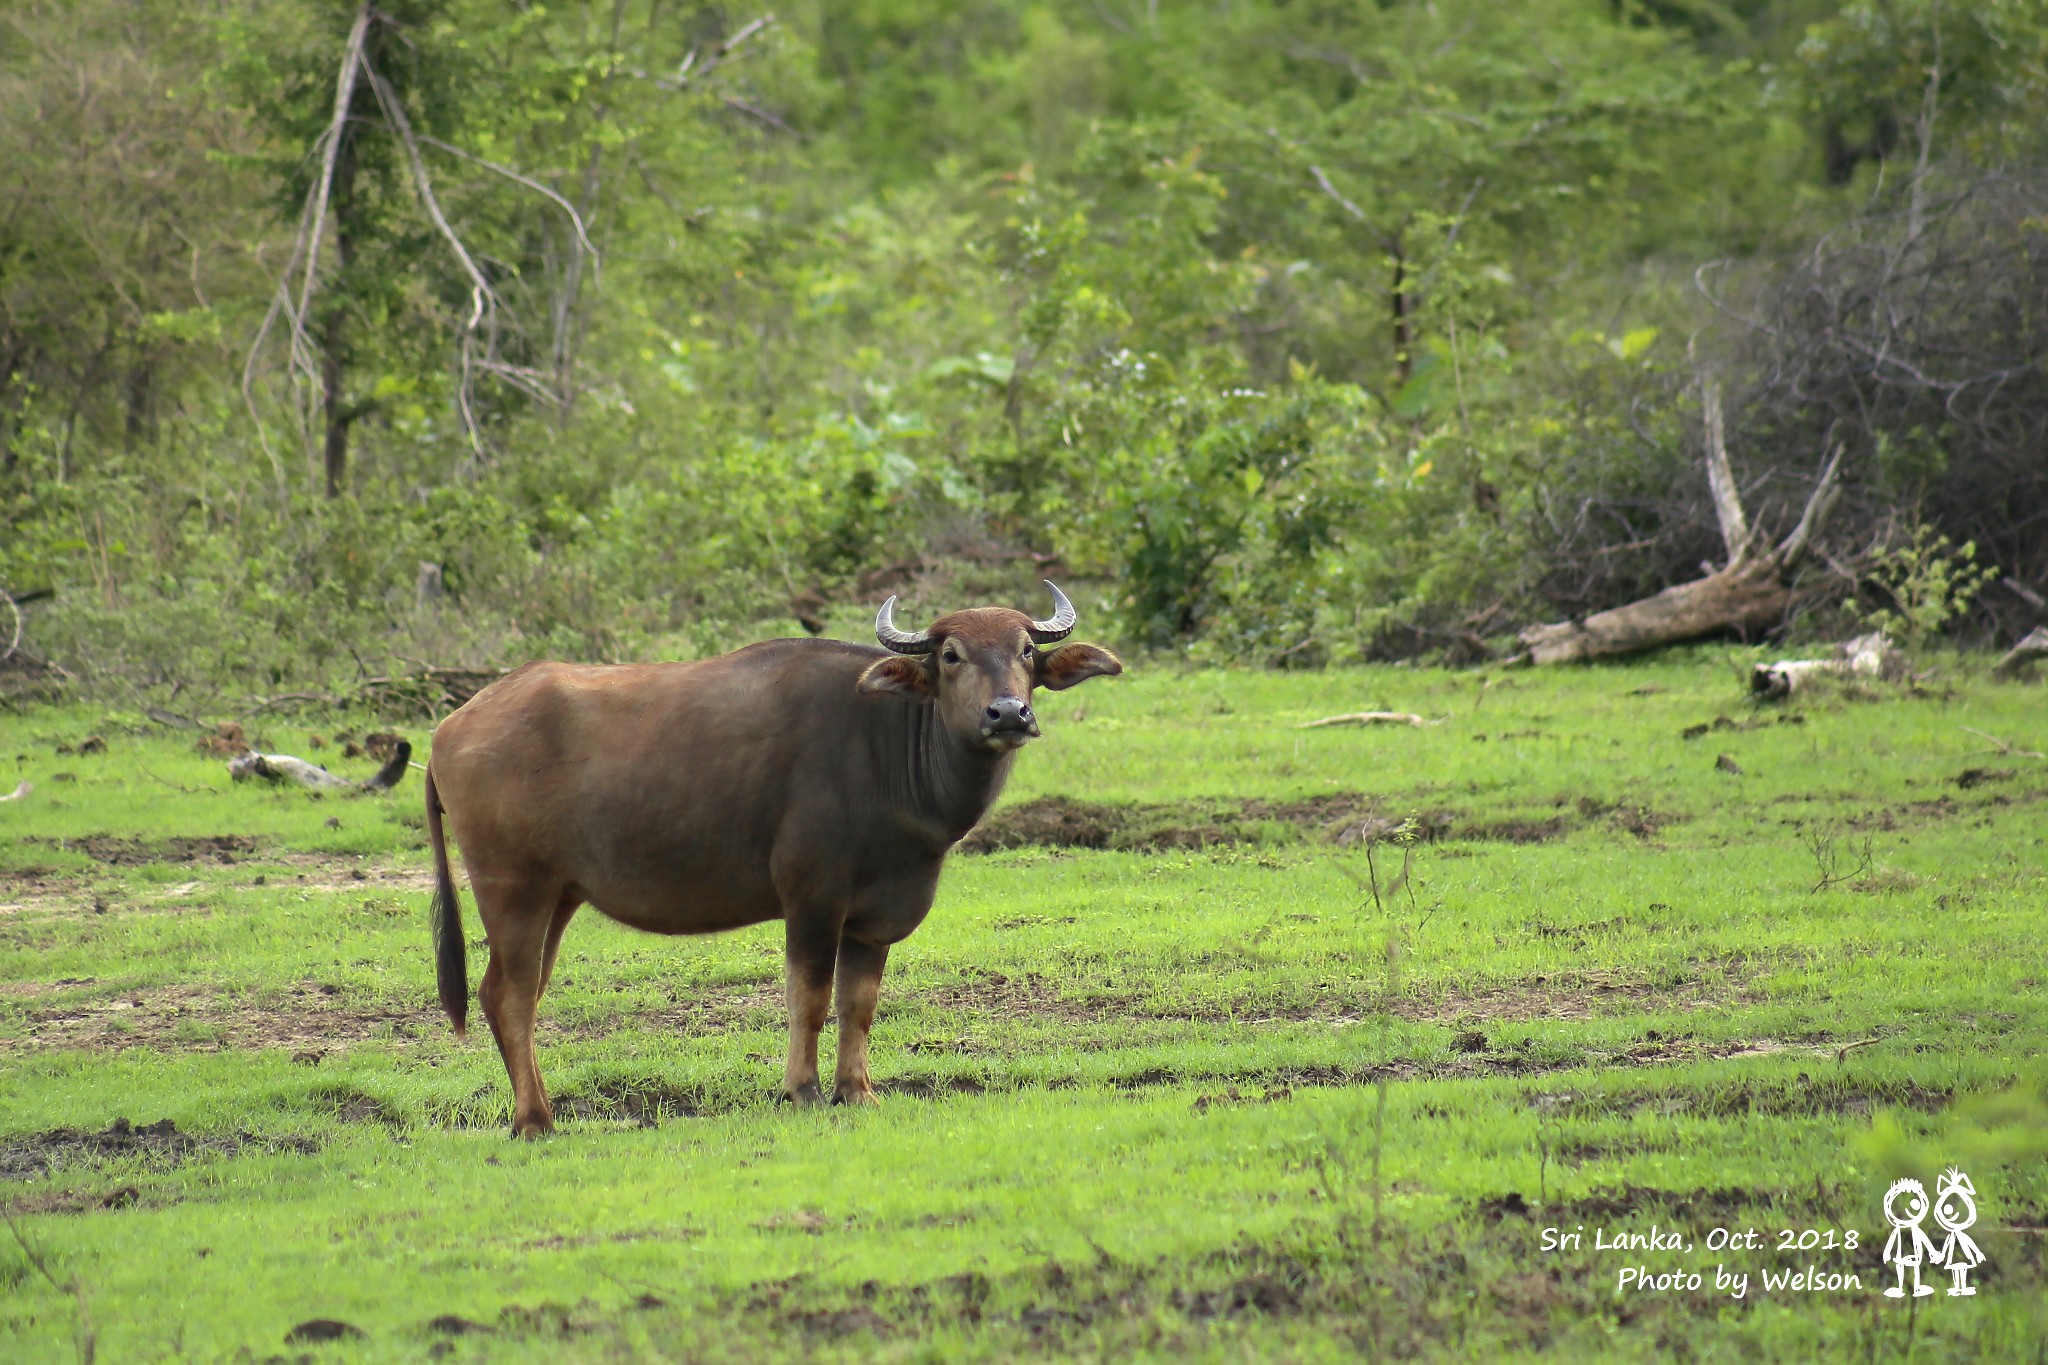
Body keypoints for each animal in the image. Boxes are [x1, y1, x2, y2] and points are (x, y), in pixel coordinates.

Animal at [419, 585, 1122, 1129]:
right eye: (951, 655)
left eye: (1026, 650)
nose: (1008, 712)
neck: (888, 745)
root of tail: (449, 729)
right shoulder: (811, 898)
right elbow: (808, 996)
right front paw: (802, 1090)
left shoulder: (872, 918)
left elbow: (858, 1004)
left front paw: (856, 1091)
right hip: (512, 889)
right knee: (509, 996)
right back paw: (536, 1120)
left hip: (559, 894)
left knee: (516, 995)